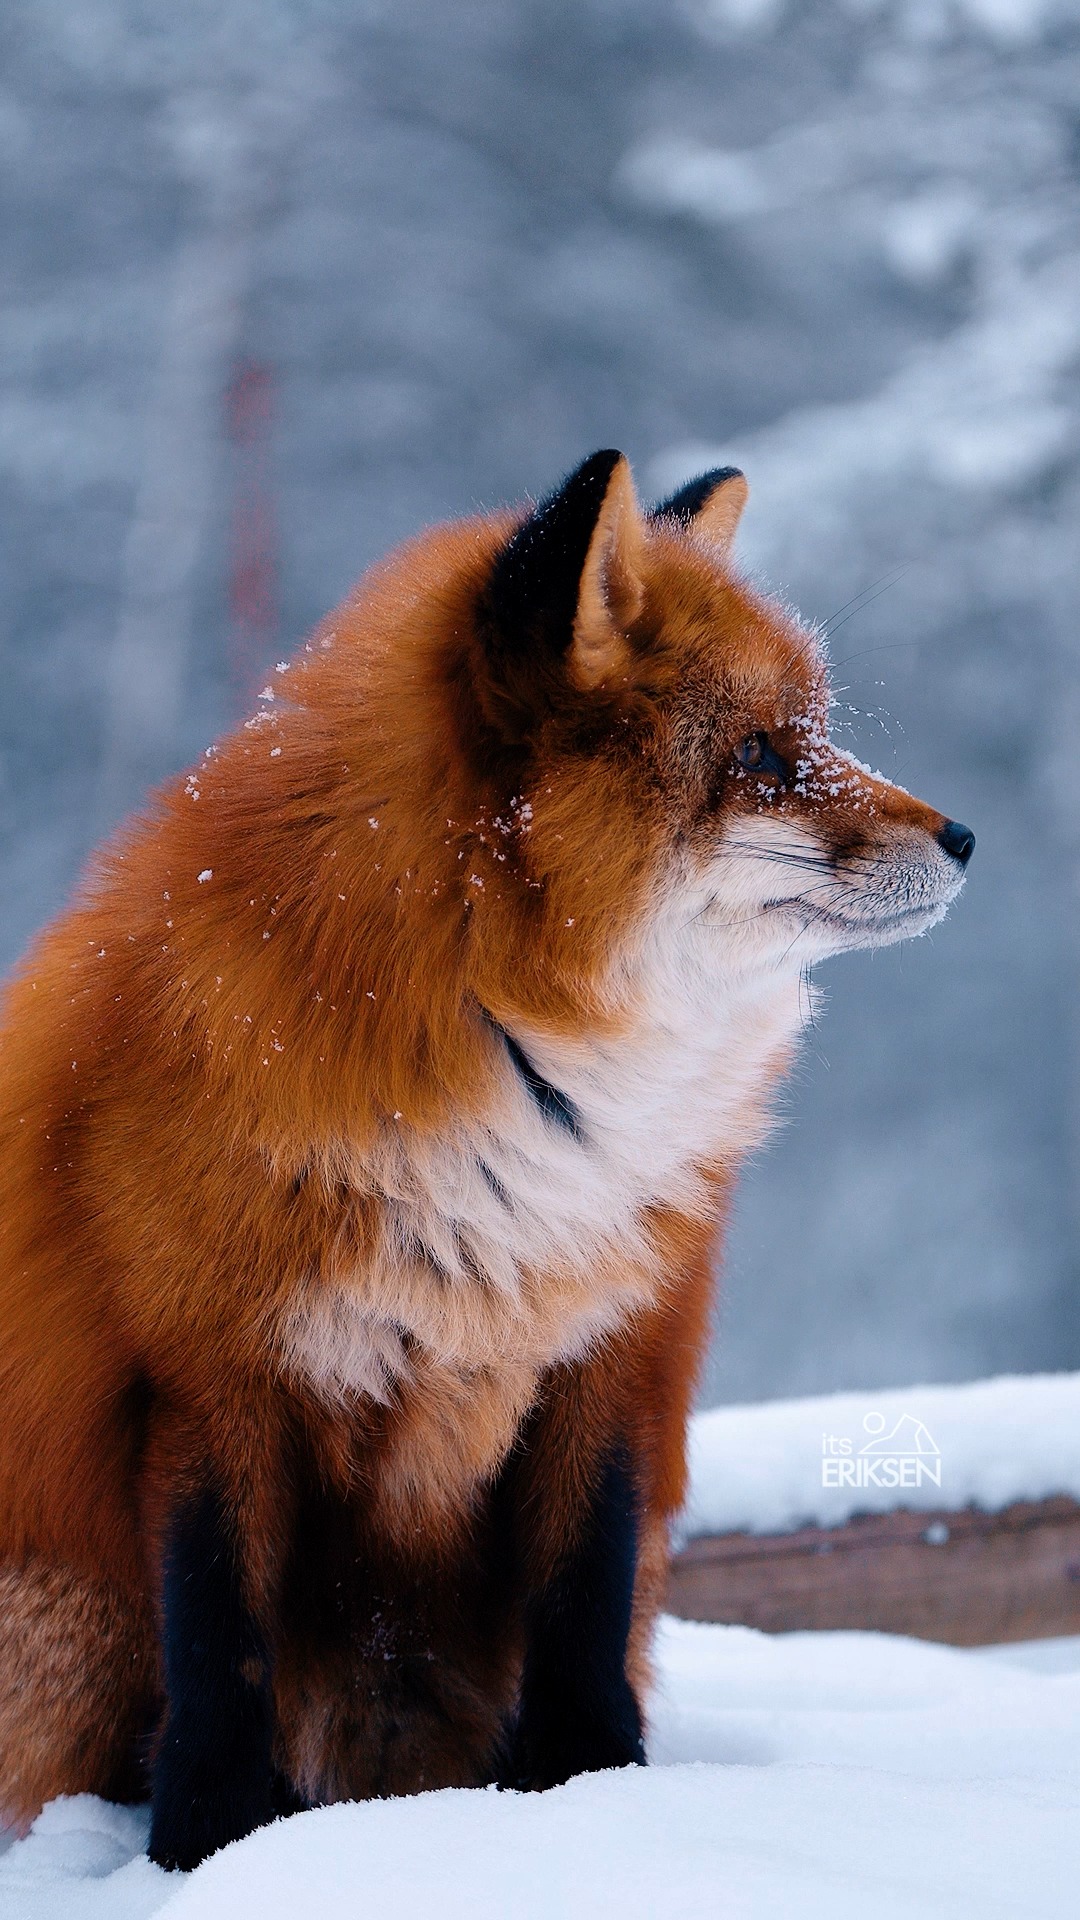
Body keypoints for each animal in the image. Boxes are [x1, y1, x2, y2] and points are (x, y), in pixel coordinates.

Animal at [0, 451, 972, 1869]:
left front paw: (594, 1802)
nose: (963, 839)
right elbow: (220, 1654)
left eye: (810, 731)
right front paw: (211, 1853)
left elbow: (581, 1618)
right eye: (758, 754)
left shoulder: (606, 1356)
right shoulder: (209, 1378)